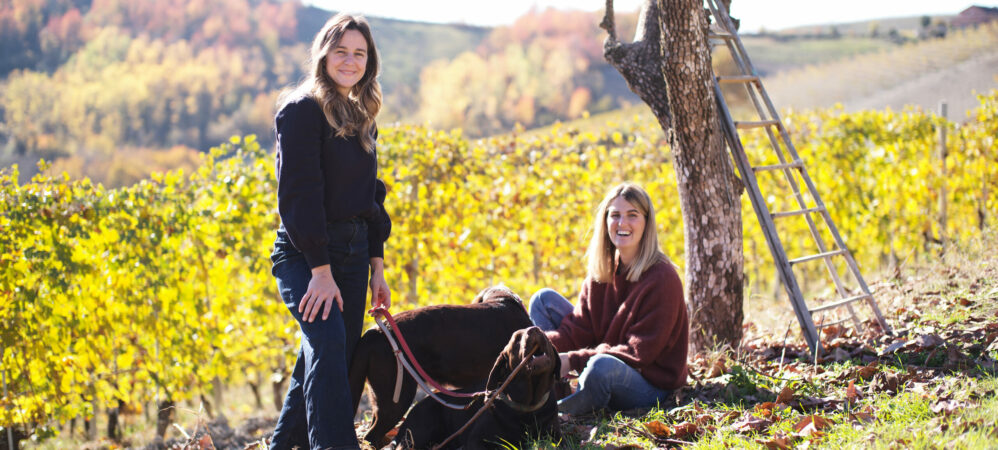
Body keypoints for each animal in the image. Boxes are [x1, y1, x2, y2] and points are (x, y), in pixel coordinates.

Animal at [392, 326, 564, 450]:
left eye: (544, 333)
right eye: (517, 340)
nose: (534, 329)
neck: (528, 406)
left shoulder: (554, 436)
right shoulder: (477, 440)